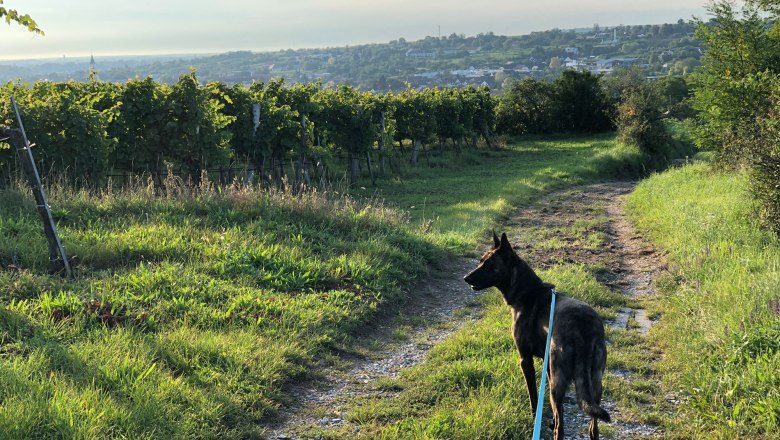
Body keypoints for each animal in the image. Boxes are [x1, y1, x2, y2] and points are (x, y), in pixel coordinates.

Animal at [464, 232, 608, 438]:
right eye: (481, 260)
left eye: (490, 264)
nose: (466, 278)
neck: (527, 293)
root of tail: (583, 328)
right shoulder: (547, 366)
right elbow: (554, 408)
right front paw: (550, 419)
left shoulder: (525, 360)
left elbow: (533, 395)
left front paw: (535, 418)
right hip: (595, 382)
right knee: (592, 427)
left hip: (558, 382)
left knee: (561, 428)